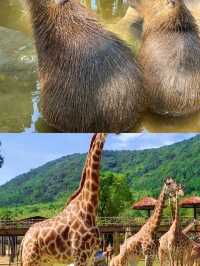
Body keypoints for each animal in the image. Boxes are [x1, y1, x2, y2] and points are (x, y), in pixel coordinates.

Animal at [20, 133, 106, 266]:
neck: (89, 209)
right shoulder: (80, 255)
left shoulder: (91, 256)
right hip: (30, 259)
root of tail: (24, 239)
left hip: (44, 261)